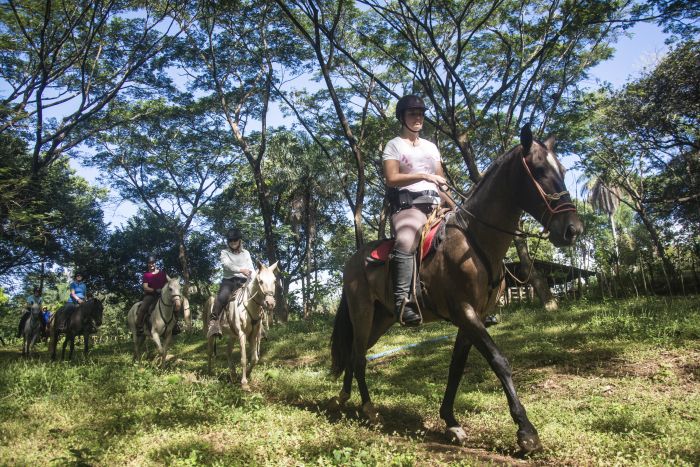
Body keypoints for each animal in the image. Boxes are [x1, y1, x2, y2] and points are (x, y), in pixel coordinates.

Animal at [204, 262, 278, 390]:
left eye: (274, 280)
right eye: (261, 281)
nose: (270, 303)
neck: (249, 305)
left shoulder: (253, 335)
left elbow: (254, 358)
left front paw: (247, 373)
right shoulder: (242, 334)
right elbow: (243, 358)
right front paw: (244, 383)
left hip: (232, 335)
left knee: (228, 352)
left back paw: (233, 375)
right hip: (211, 334)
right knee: (209, 352)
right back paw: (209, 373)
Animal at [330, 124, 584, 454]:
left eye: (563, 170)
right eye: (539, 170)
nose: (572, 230)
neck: (475, 240)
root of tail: (352, 261)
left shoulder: (473, 317)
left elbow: (456, 368)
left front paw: (450, 421)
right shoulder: (465, 312)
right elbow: (499, 361)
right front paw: (526, 432)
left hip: (381, 320)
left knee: (352, 354)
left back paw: (344, 399)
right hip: (362, 314)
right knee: (358, 355)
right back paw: (368, 408)